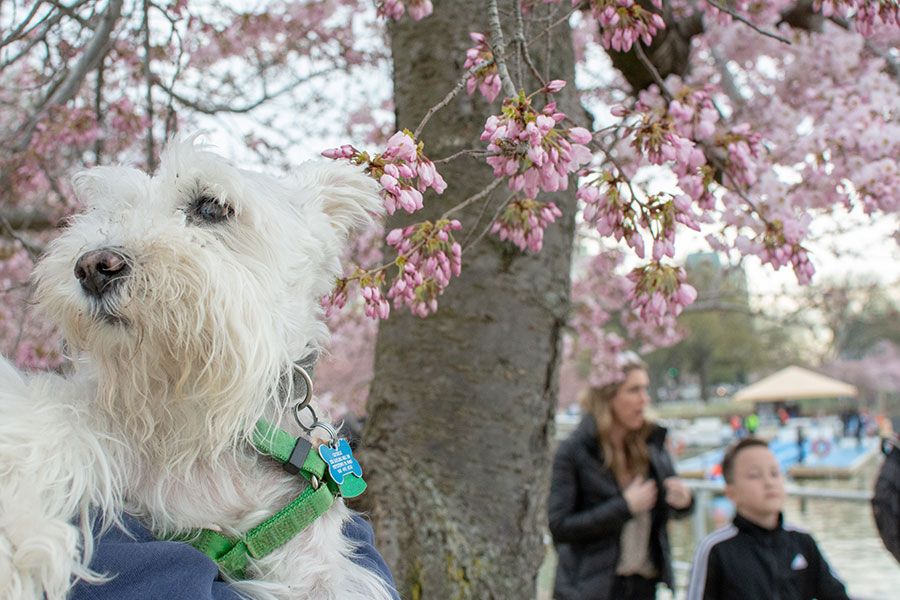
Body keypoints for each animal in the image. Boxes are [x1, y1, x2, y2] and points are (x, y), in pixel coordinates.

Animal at [0, 141, 394, 600]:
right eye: (108, 210)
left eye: (210, 207)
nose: (93, 266)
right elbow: (47, 424)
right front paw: (18, 538)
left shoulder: (311, 553)